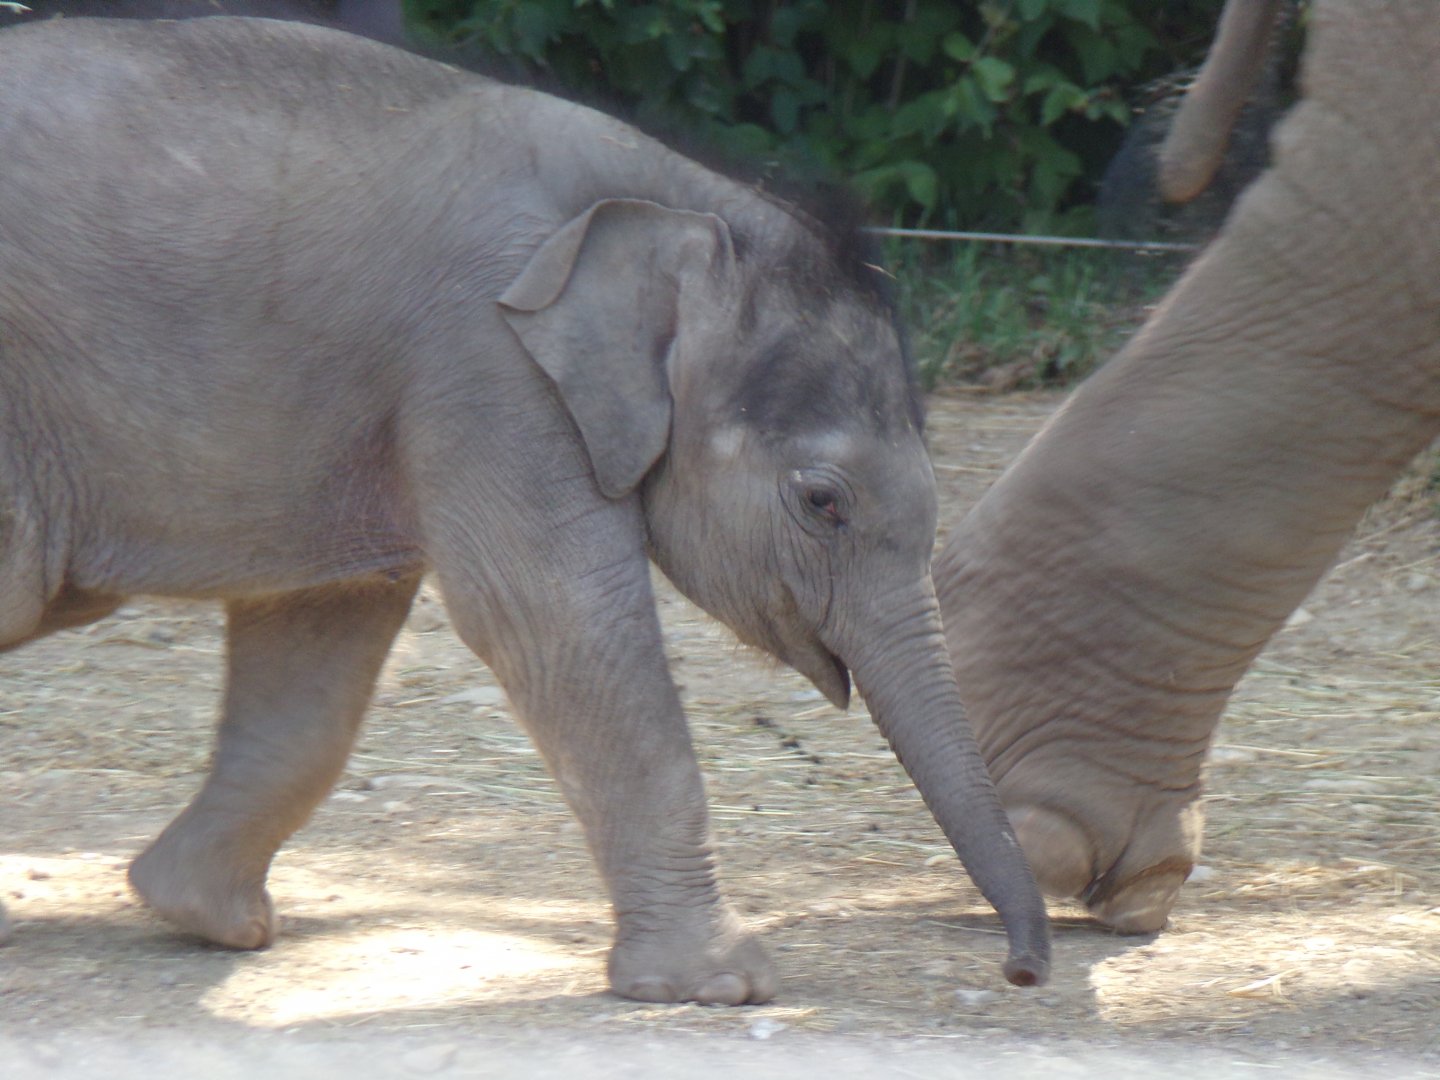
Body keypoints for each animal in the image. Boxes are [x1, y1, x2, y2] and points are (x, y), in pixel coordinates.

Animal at [0, 16, 1049, 1000]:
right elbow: (553, 614)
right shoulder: (488, 359)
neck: (673, 197)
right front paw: (723, 983)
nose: (1023, 971)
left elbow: (321, 643)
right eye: (824, 502)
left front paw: (210, 920)